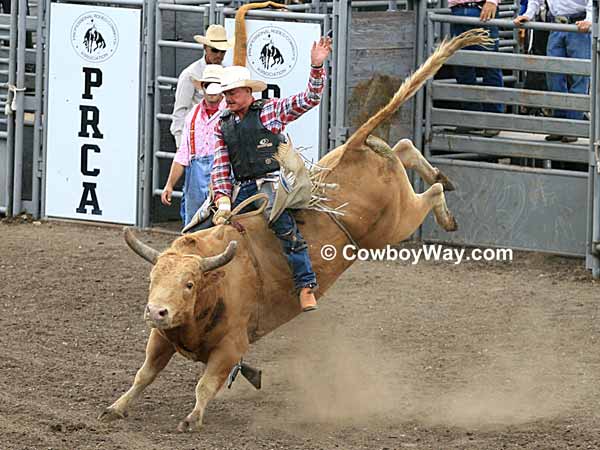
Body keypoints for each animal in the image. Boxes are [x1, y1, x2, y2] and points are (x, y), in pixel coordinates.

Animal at [99, 29, 492, 430]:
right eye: (152, 280)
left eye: (189, 284)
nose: (156, 310)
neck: (218, 280)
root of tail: (351, 147)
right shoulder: (162, 336)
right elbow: (144, 373)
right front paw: (116, 406)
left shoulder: (231, 346)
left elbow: (206, 384)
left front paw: (192, 418)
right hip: (386, 187)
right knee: (403, 146)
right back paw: (436, 173)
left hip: (397, 221)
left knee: (428, 191)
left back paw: (446, 207)